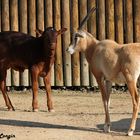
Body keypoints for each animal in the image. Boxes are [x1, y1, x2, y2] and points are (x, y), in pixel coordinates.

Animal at [66, 7, 140, 136]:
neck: (95, 48)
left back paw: (130, 130)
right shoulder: (109, 80)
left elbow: (104, 100)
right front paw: (107, 125)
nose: (68, 49)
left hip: (131, 81)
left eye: (76, 37)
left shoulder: (99, 77)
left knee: (136, 100)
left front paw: (106, 127)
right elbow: (109, 100)